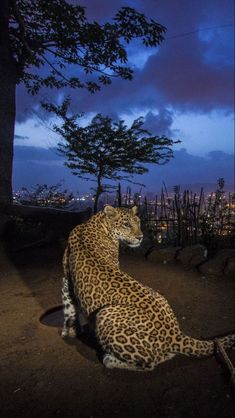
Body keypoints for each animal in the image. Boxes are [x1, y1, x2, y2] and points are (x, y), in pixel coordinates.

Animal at [61, 204, 235, 370]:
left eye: (138, 222)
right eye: (126, 224)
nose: (140, 237)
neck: (97, 223)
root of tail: (175, 333)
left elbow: (69, 305)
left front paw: (70, 331)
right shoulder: (66, 279)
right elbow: (69, 306)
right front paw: (70, 330)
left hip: (105, 313)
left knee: (149, 363)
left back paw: (110, 360)